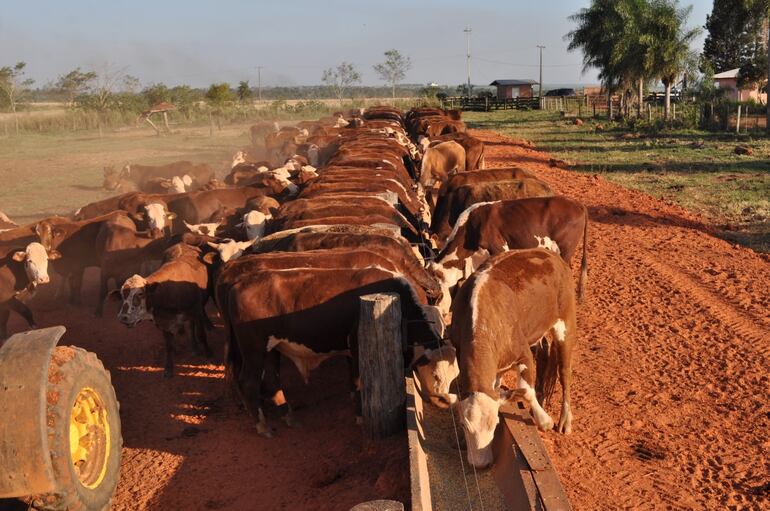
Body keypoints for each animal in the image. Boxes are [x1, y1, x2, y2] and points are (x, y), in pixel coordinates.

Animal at [112, 242, 213, 378]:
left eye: (140, 294)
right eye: (122, 295)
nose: (123, 317)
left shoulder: (197, 310)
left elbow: (201, 334)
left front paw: (208, 353)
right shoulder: (164, 323)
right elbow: (169, 346)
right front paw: (168, 369)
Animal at [219, 266, 440, 438]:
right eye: (436, 374)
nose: (443, 399)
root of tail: (239, 283)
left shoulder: (351, 353)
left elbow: (353, 381)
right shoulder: (356, 345)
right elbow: (359, 382)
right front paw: (360, 416)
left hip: (272, 349)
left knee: (272, 380)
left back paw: (289, 416)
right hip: (254, 349)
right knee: (249, 382)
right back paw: (262, 425)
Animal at [450, 248, 576, 468]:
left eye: (495, 425)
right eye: (465, 426)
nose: (481, 463)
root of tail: (549, 254)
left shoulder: (523, 353)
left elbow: (526, 390)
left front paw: (544, 421)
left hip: (566, 323)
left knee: (564, 372)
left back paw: (565, 420)